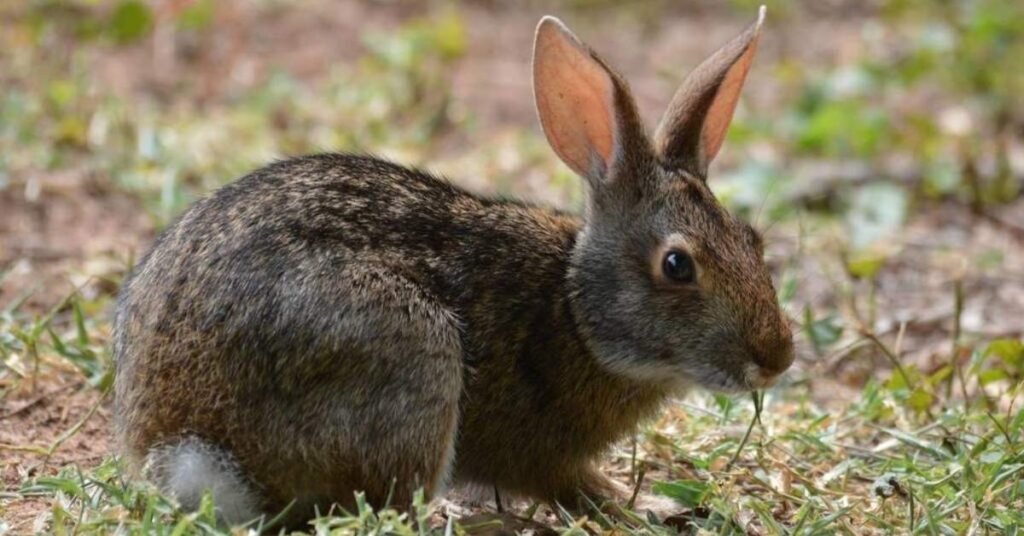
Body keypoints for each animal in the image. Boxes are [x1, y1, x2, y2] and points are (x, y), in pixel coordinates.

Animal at [113, 6, 792, 527]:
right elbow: (572, 486)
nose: (777, 358)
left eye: (753, 239)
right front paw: (644, 508)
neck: (575, 312)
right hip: (412, 351)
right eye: (677, 265)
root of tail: (185, 445)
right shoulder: (545, 452)